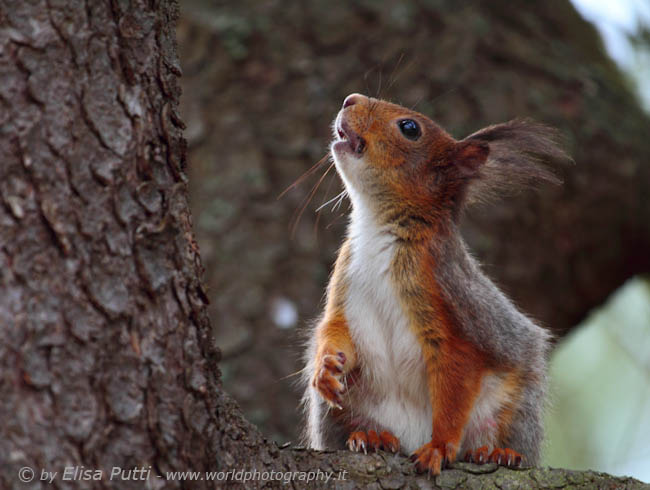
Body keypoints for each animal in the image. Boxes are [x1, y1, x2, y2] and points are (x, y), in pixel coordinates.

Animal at [300, 93, 568, 474]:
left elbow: (456, 385)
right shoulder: (343, 279)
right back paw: (371, 435)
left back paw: (496, 453)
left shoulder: (450, 302)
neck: (378, 228)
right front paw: (326, 368)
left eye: (410, 127)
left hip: (516, 404)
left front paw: (440, 447)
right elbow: (335, 328)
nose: (350, 99)